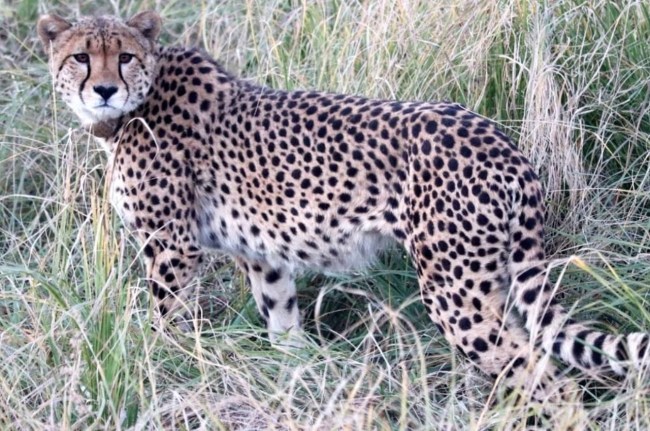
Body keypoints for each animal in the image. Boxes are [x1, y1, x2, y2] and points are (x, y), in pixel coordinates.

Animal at [38, 10, 648, 417]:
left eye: (125, 55)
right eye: (80, 56)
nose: (104, 89)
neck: (135, 106)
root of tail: (502, 140)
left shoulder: (170, 245)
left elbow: (162, 321)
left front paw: (156, 364)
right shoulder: (263, 254)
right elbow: (282, 322)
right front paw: (292, 377)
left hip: (455, 290)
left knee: (542, 376)